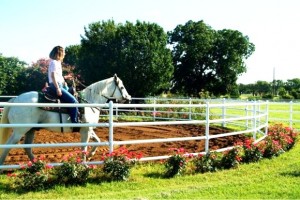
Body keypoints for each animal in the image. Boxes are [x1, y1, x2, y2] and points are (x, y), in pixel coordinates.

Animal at [0, 74, 131, 165]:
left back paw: (38, 163)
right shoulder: (85, 131)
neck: (89, 102)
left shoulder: (89, 129)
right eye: (122, 87)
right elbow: (84, 147)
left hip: (30, 130)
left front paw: (90, 156)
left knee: (27, 146)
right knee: (8, 145)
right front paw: (84, 164)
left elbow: (97, 141)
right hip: (19, 131)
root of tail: (15, 100)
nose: (129, 98)